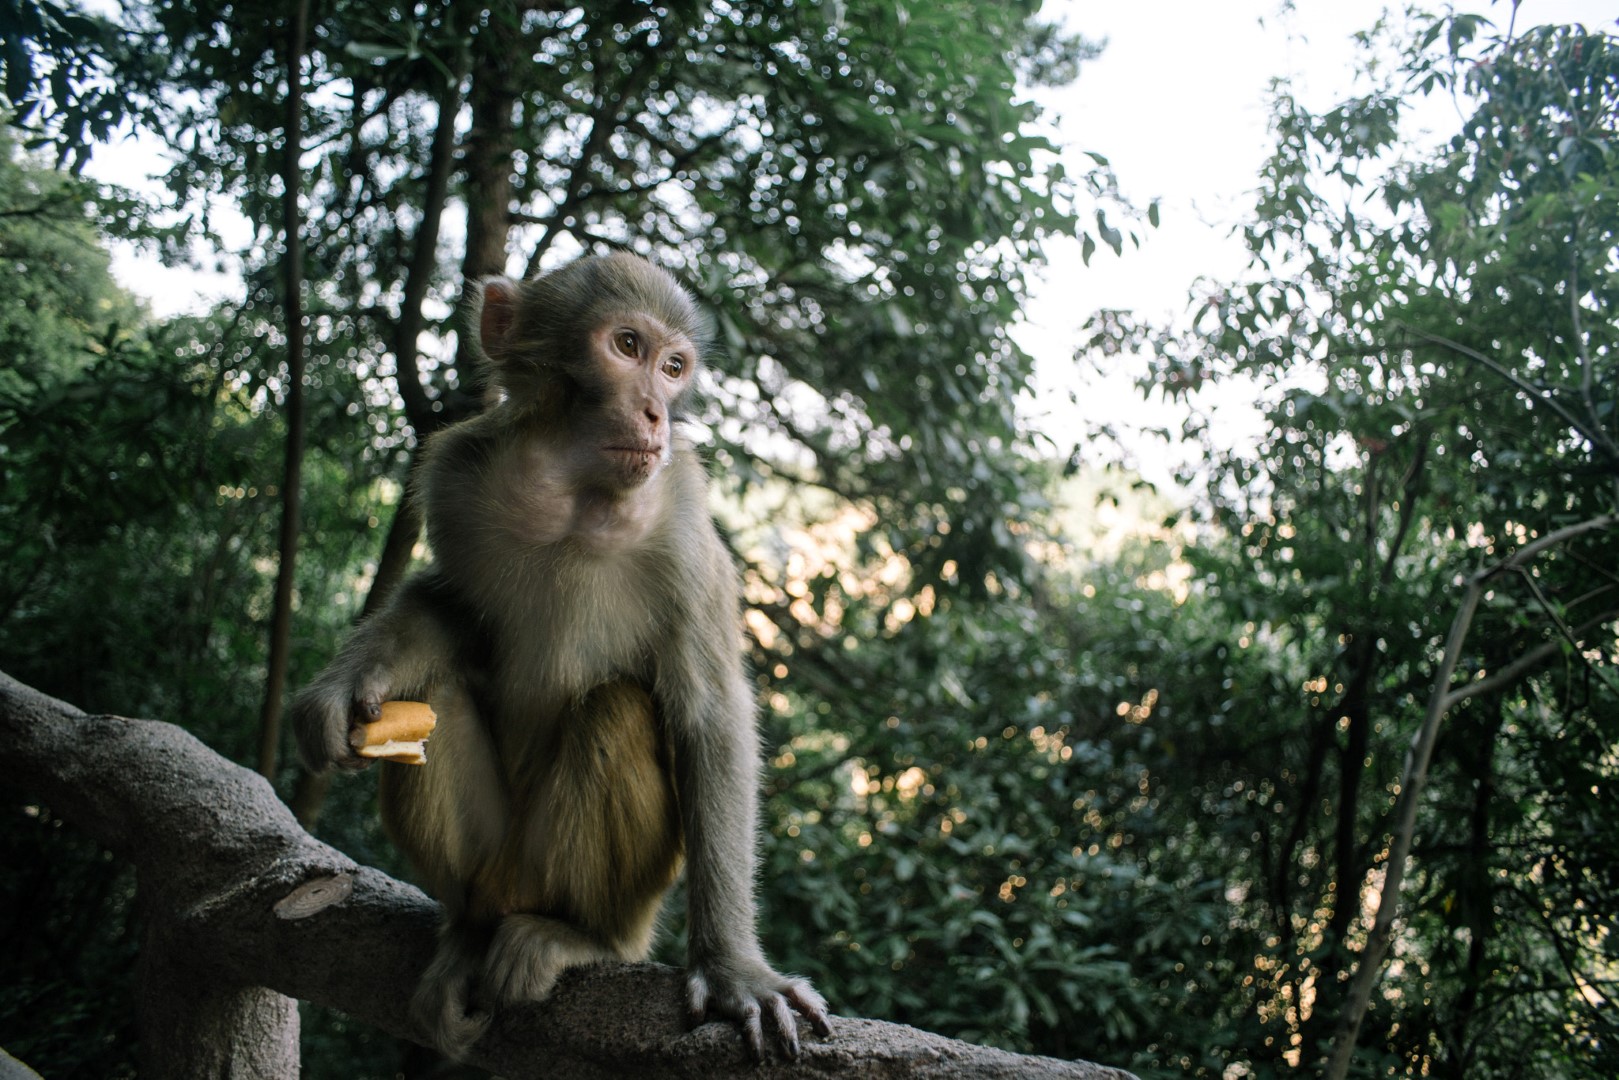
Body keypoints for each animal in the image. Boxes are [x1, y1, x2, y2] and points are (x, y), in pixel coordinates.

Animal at [288, 254, 835, 1062]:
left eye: (674, 367)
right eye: (628, 347)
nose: (656, 412)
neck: (574, 495)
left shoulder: (684, 523)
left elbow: (710, 718)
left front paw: (735, 970)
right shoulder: (457, 474)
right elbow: (447, 605)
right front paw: (346, 684)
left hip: (610, 889)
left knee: (617, 710)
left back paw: (582, 937)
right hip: (494, 857)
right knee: (439, 694)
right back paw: (470, 931)